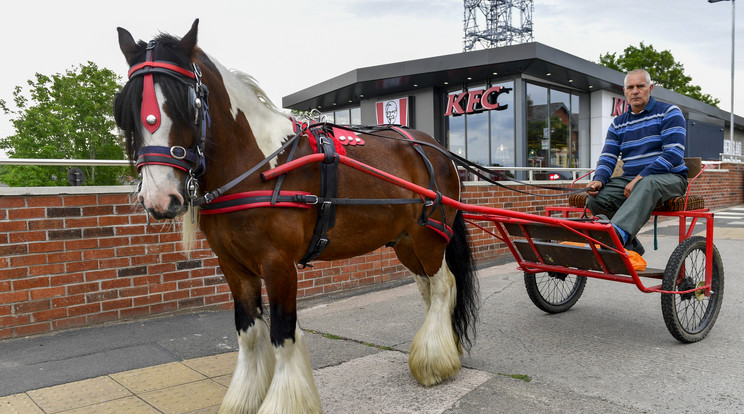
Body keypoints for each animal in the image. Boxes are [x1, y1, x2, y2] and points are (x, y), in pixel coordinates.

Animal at [113, 20, 480, 414]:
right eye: (127, 109)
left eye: (189, 104)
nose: (159, 198)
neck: (261, 165)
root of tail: (435, 148)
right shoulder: (233, 266)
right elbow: (249, 332)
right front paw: (244, 398)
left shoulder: (278, 263)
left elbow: (282, 332)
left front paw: (283, 401)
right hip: (405, 242)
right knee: (428, 290)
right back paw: (444, 350)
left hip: (430, 236)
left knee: (444, 286)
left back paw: (434, 363)